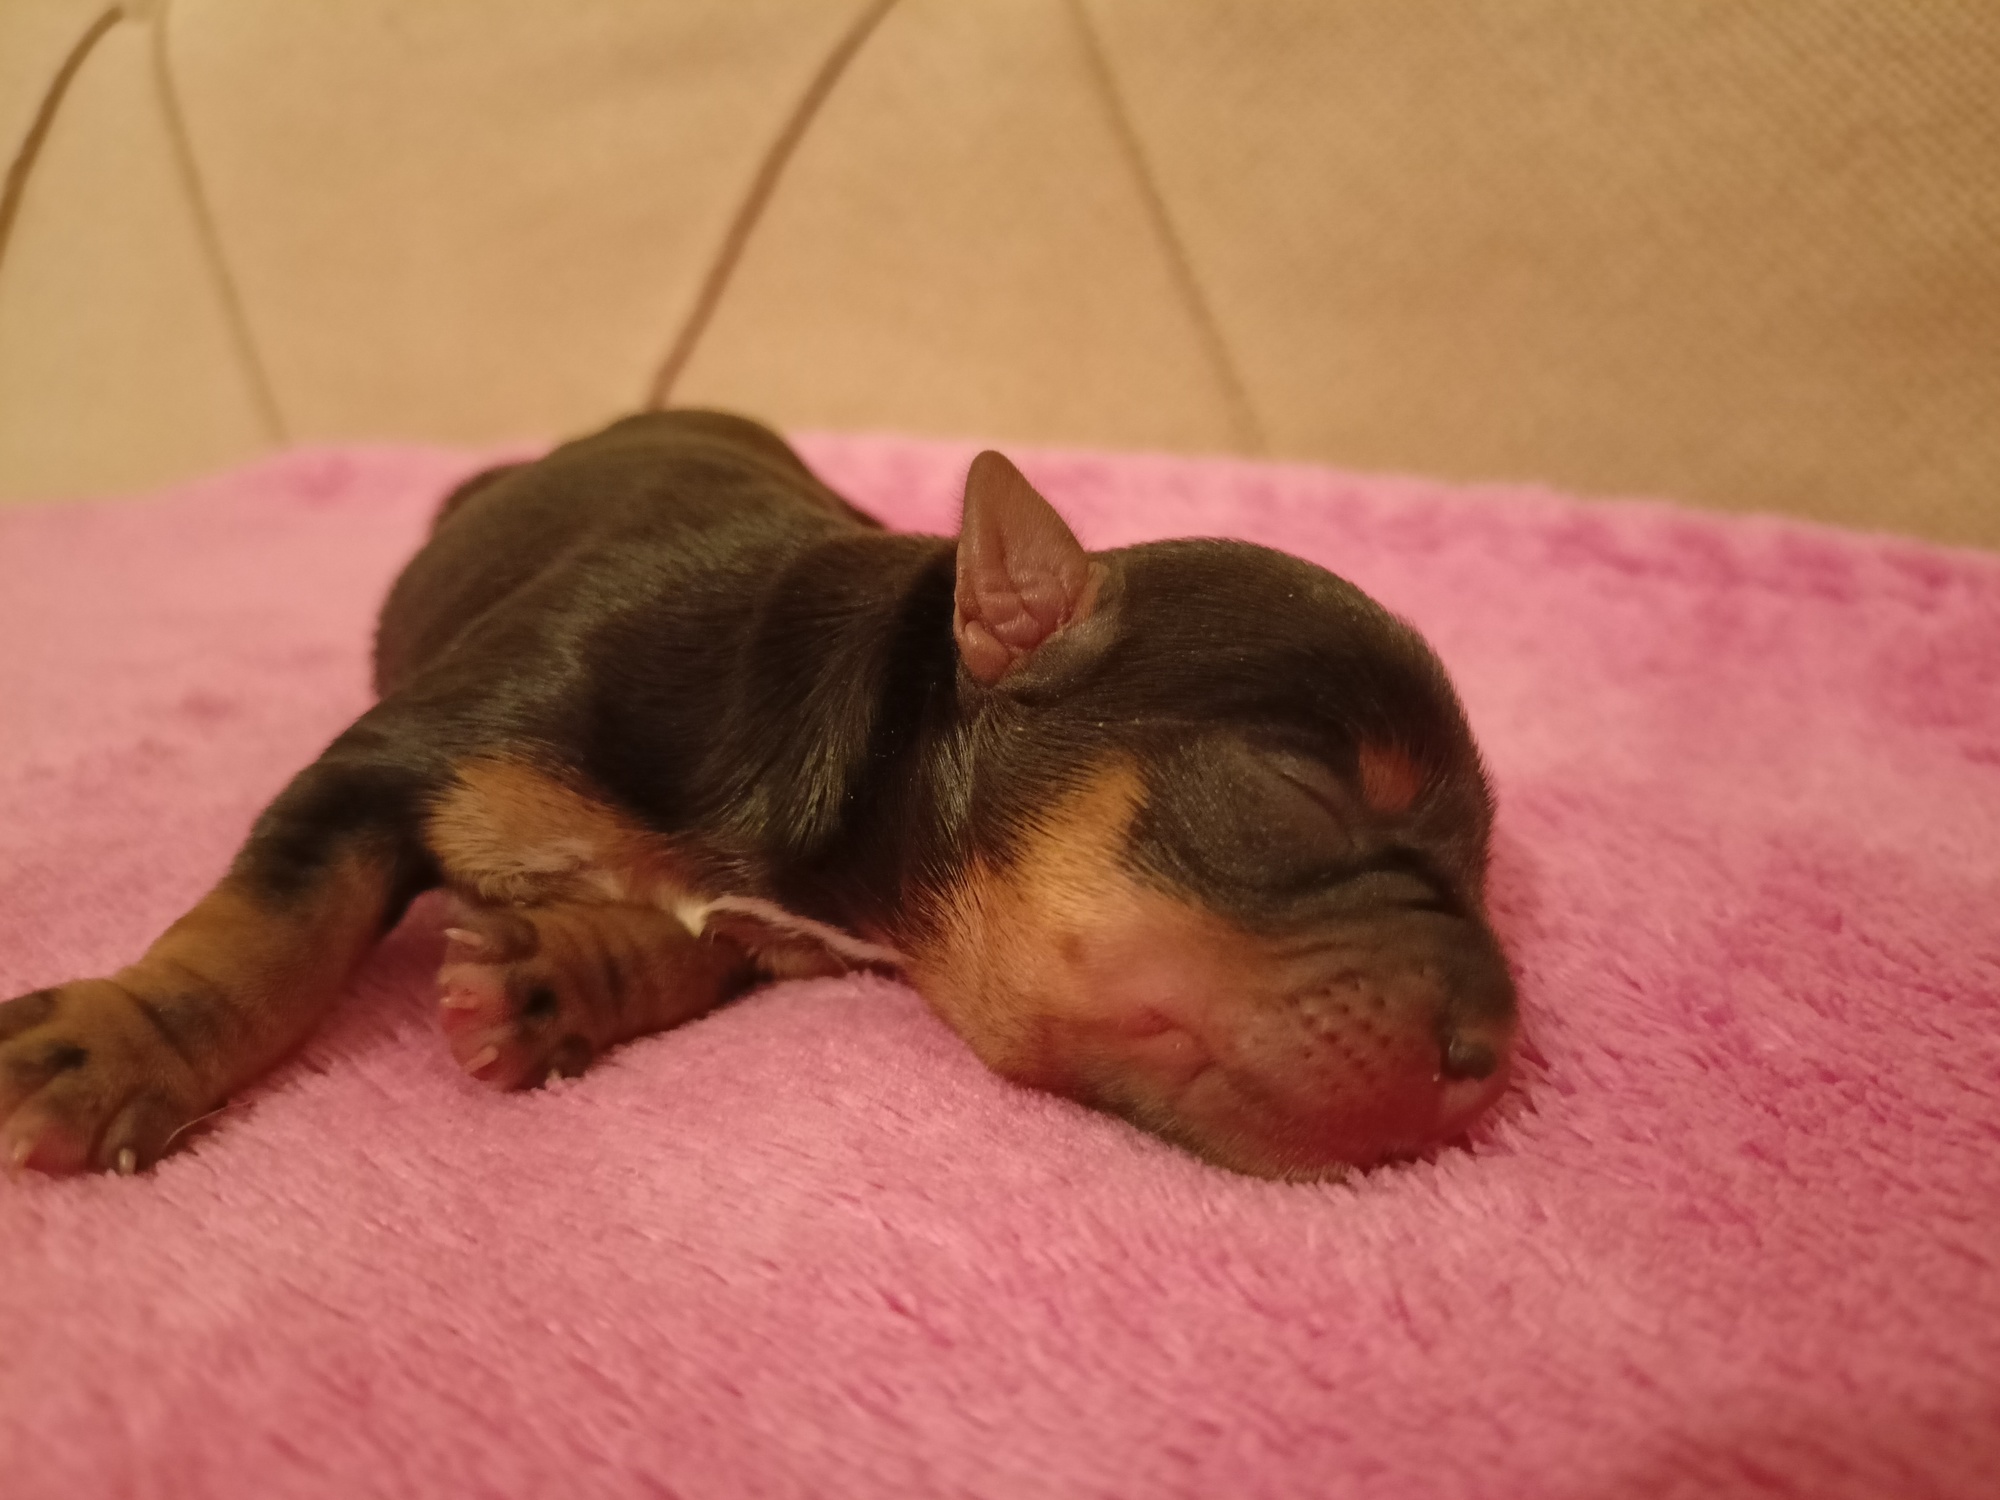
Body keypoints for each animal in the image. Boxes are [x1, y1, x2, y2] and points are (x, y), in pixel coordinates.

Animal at [0, 411, 1516, 1181]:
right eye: (1302, 791)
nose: (1495, 1052)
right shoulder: (383, 762)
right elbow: (269, 929)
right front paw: (115, 1046)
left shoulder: (760, 934)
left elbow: (682, 950)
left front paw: (554, 977)